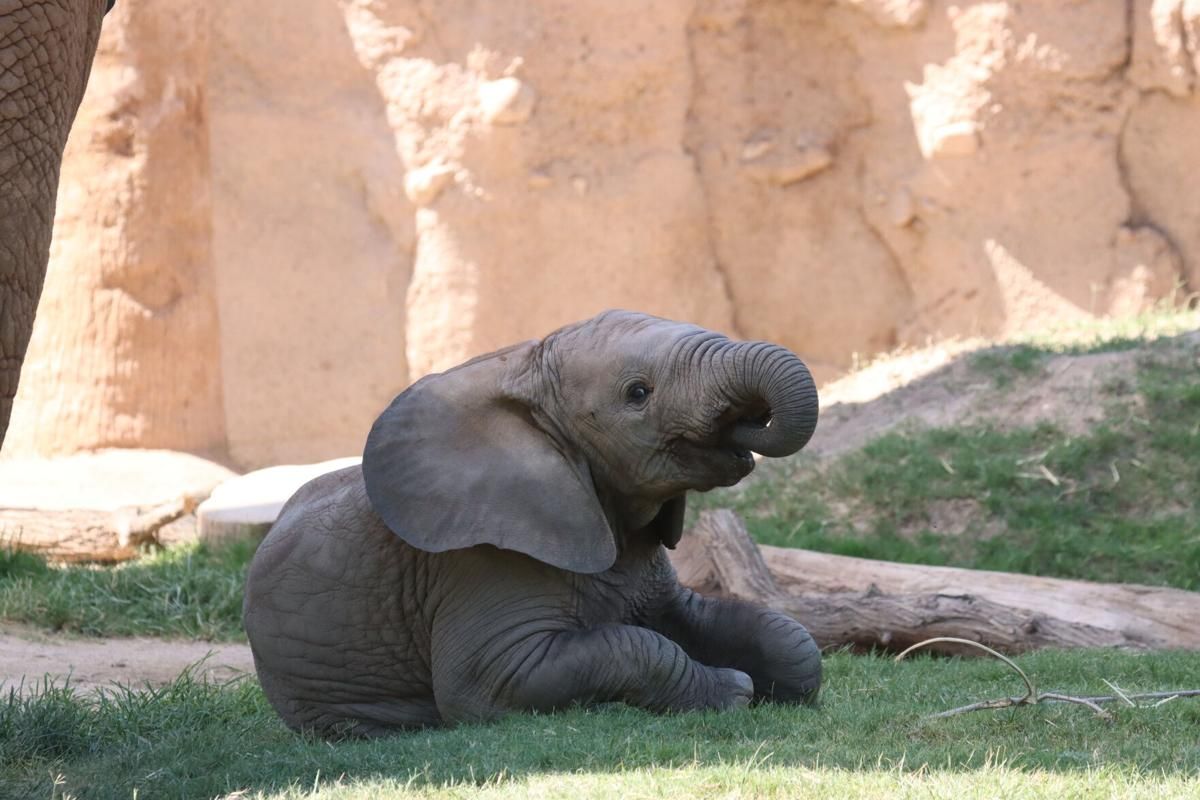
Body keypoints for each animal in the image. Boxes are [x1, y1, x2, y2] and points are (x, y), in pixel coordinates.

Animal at [243, 310, 822, 737]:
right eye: (638, 393)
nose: (748, 421)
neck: (525, 375)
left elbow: (773, 635)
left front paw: (779, 684)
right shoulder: (479, 564)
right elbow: (493, 680)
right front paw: (734, 691)